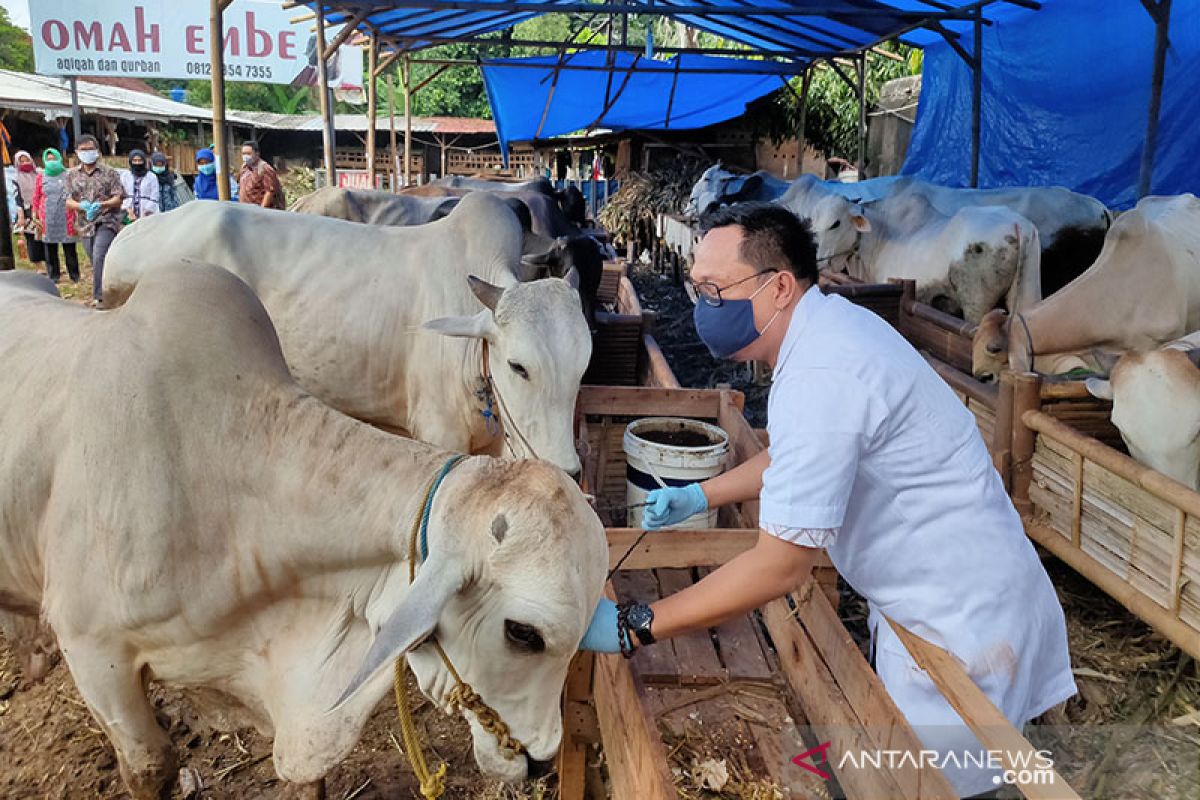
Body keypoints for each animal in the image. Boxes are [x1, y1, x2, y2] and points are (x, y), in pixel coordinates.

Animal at [777, 176, 1041, 323]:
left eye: (835, 223)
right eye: (812, 221)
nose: (815, 257)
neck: (881, 235)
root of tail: (1019, 225)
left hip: (976, 304)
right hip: (1027, 297)